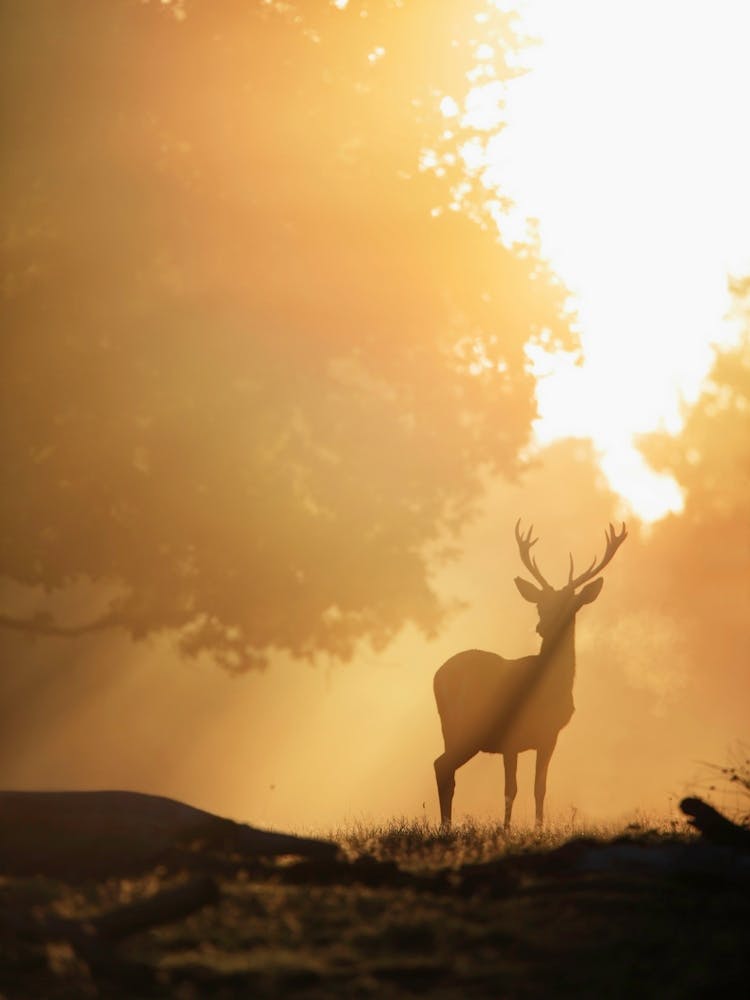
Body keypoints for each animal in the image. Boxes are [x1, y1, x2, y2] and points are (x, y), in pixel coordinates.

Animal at [433, 519, 627, 829]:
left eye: (570, 605)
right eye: (540, 603)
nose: (542, 626)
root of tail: (438, 677)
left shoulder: (549, 736)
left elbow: (540, 788)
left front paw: (538, 828)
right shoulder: (511, 737)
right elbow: (510, 789)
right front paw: (506, 829)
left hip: (453, 730)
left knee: (445, 766)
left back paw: (446, 825)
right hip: (467, 726)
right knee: (442, 765)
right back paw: (445, 826)